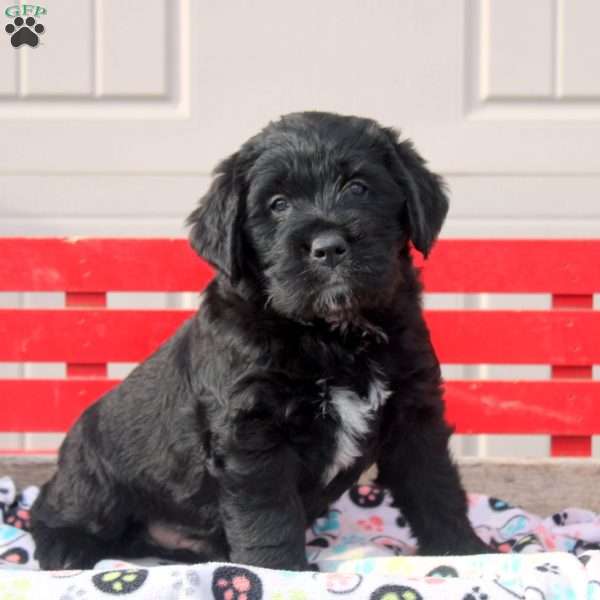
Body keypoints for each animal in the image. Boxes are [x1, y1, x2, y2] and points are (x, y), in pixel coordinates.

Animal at [30, 111, 490, 568]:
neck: (332, 334)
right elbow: (268, 514)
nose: (328, 247)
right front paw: (280, 572)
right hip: (94, 474)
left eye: (359, 187)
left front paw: (465, 550)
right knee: (50, 508)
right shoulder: (252, 434)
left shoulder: (414, 413)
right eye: (278, 204)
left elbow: (435, 486)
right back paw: (67, 548)